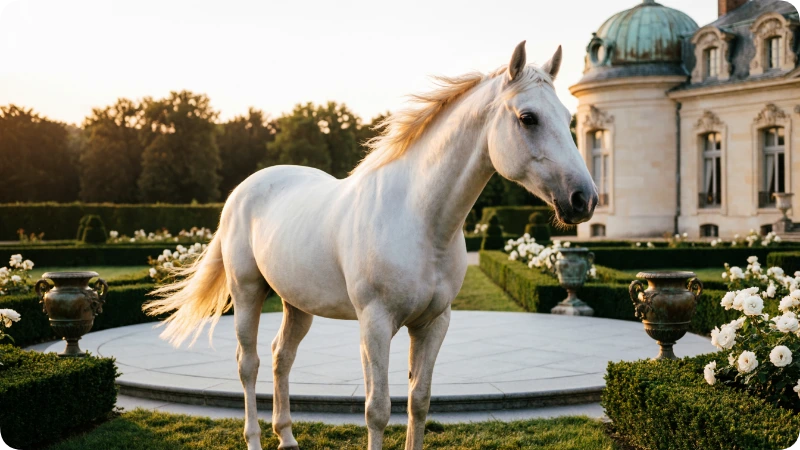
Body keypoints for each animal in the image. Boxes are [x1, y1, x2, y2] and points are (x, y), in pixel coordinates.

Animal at [144, 41, 597, 450]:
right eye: (528, 118)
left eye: (567, 117)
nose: (584, 199)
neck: (419, 221)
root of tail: (242, 190)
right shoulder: (375, 323)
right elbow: (377, 409)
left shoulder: (434, 323)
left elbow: (419, 402)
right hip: (247, 292)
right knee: (249, 363)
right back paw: (255, 439)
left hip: (298, 305)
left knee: (280, 357)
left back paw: (287, 437)